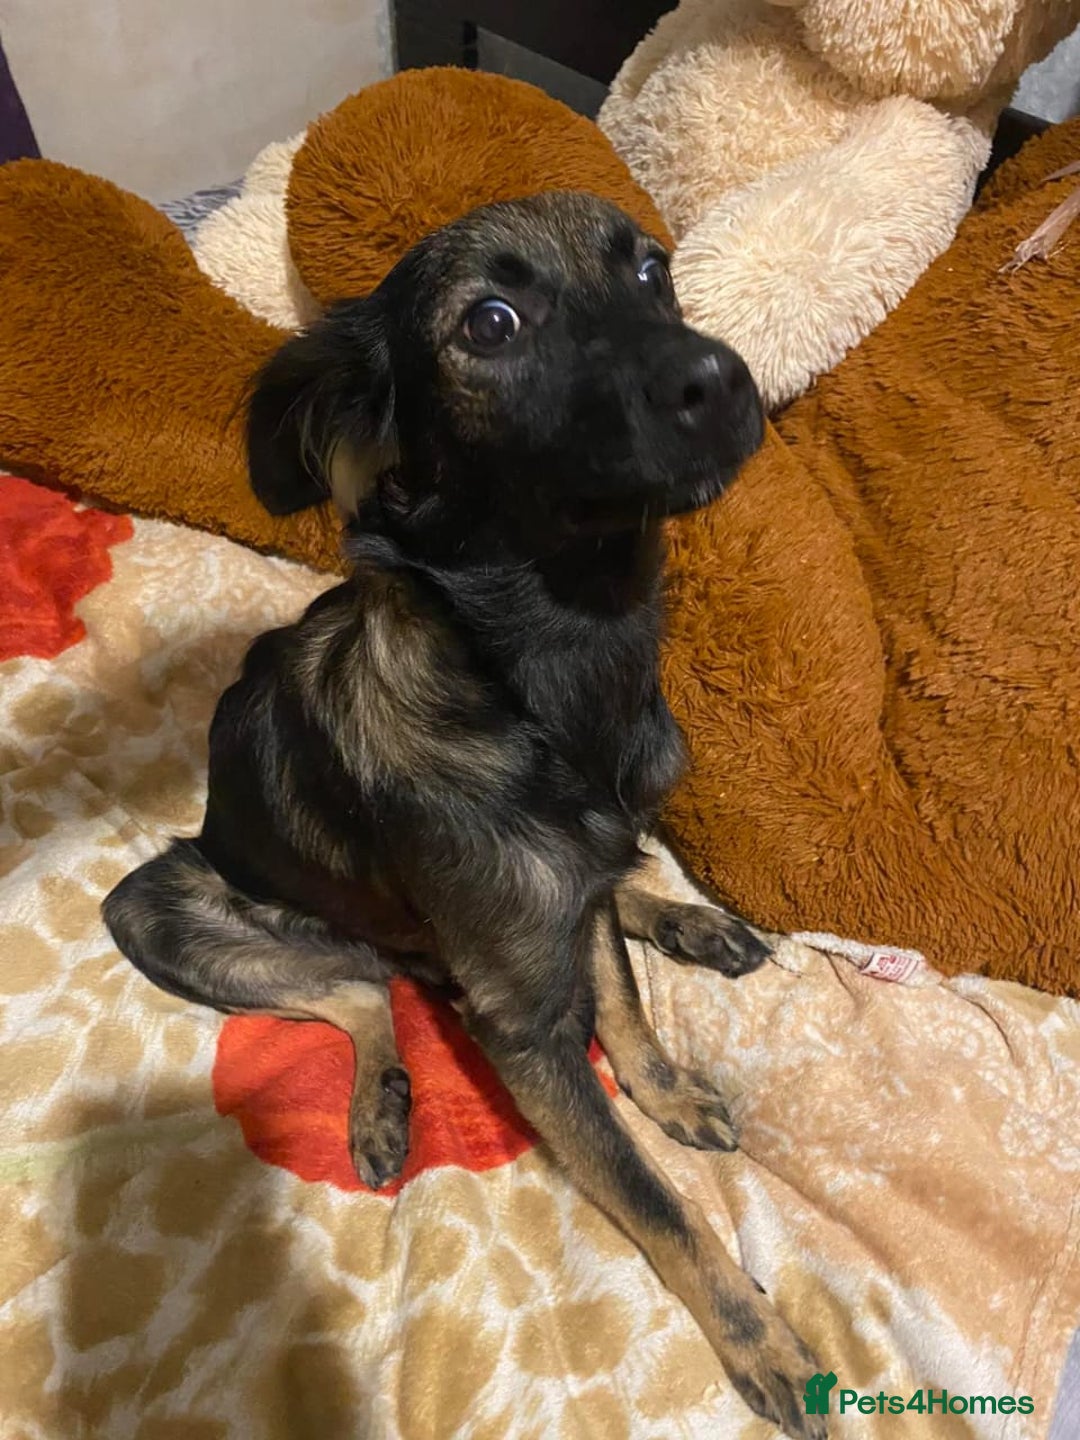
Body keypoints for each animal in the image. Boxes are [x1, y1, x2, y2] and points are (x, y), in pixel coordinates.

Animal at [103, 191, 825, 1438]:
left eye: (653, 272)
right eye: (489, 323)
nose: (727, 379)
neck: (552, 672)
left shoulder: (578, 891)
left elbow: (623, 1007)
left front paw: (666, 1084)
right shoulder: (522, 1027)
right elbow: (653, 1196)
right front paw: (753, 1332)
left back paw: (690, 923)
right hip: (160, 906)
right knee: (357, 991)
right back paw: (381, 1102)